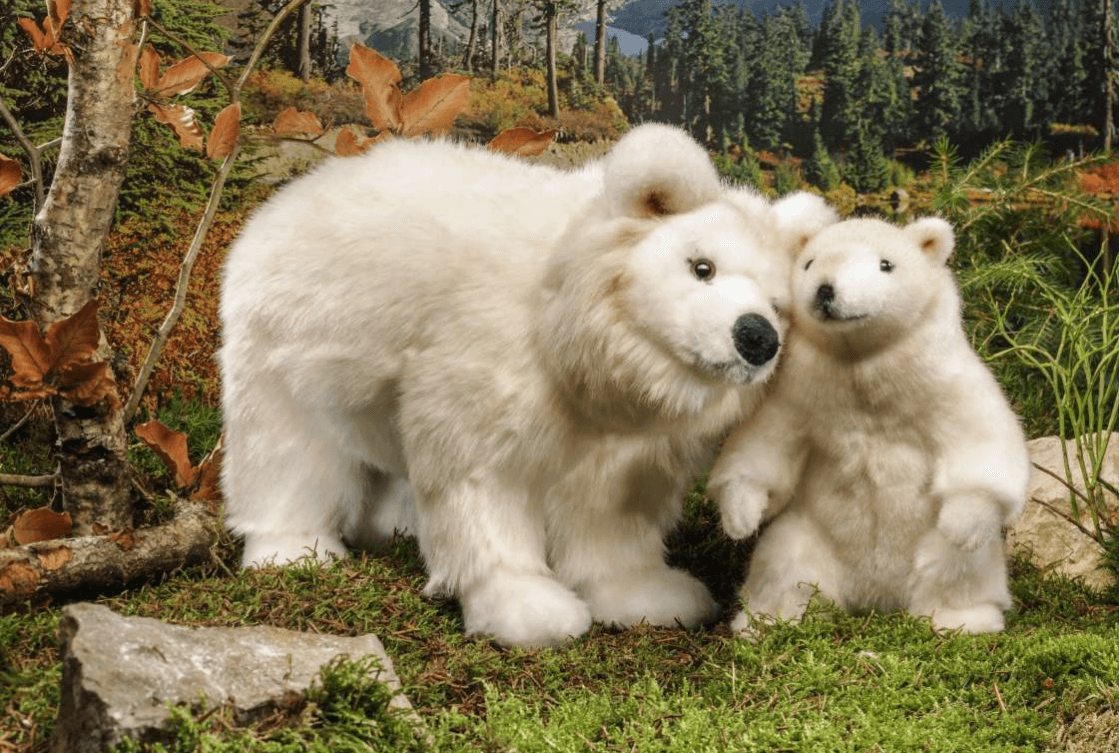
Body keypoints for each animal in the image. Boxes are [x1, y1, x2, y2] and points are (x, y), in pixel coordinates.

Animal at [218, 124, 838, 648]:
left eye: (779, 305)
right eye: (701, 266)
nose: (756, 337)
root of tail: (288, 195)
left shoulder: (628, 435)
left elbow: (610, 508)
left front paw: (653, 595)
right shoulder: (487, 365)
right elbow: (480, 483)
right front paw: (529, 609)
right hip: (290, 340)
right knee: (289, 450)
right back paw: (292, 549)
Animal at [708, 216, 1030, 635]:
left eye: (885, 264)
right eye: (809, 263)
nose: (826, 290)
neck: (859, 364)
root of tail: (877, 599)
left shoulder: (944, 384)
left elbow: (980, 438)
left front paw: (961, 524)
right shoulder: (797, 398)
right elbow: (763, 447)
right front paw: (740, 518)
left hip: (935, 546)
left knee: (955, 567)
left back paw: (962, 617)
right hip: (810, 535)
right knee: (784, 565)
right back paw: (769, 620)